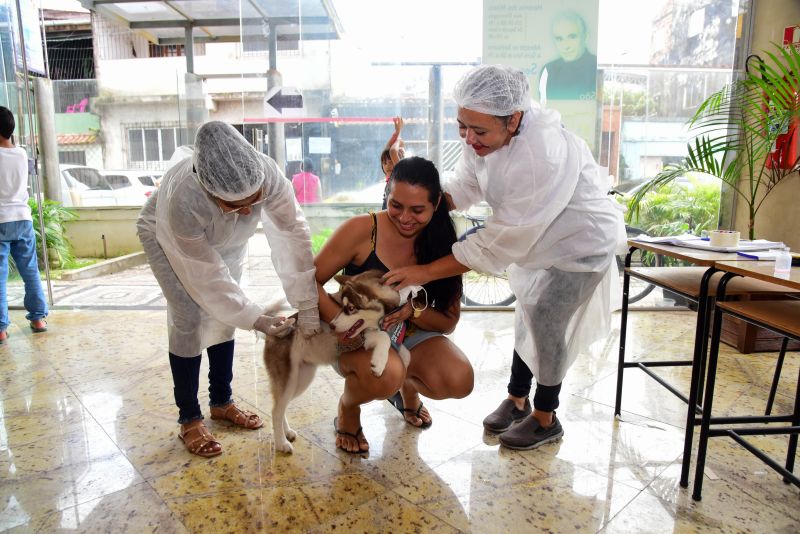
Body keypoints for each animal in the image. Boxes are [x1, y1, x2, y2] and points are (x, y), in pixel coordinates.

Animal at [264, 270, 412, 454]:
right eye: (341, 305)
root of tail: (273, 331)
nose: (333, 326)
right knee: (276, 410)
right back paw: (281, 443)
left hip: (302, 378)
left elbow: (405, 353)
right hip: (289, 378)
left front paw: (403, 364)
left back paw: (287, 432)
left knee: (281, 406)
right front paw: (379, 363)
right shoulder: (362, 338)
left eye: (350, 308)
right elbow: (383, 337)